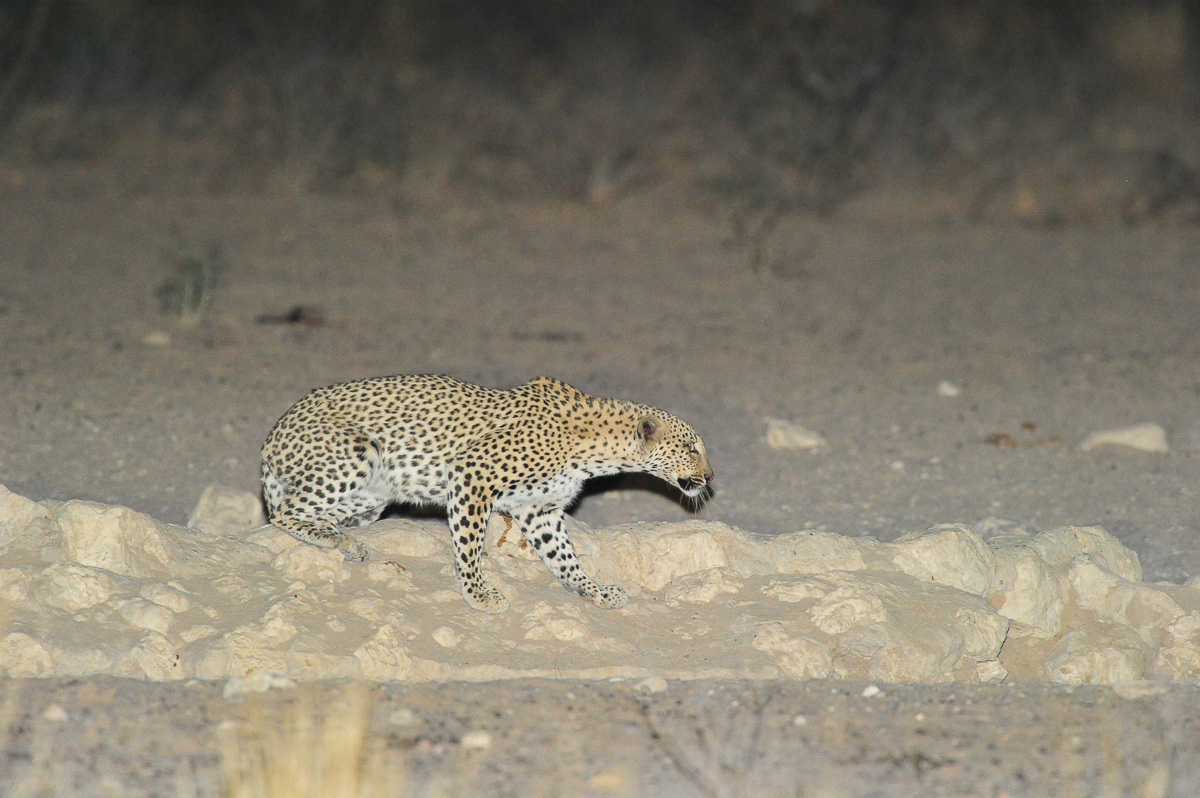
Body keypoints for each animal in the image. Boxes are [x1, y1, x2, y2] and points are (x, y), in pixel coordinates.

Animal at [260, 374, 714, 613]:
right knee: (286, 513)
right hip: (359, 454)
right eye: (691, 447)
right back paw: (335, 539)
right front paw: (477, 592)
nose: (711, 478)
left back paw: (343, 535)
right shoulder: (471, 474)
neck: (598, 452)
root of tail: (271, 437)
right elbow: (469, 542)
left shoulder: (540, 510)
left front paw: (593, 588)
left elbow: (564, 557)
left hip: (374, 497)